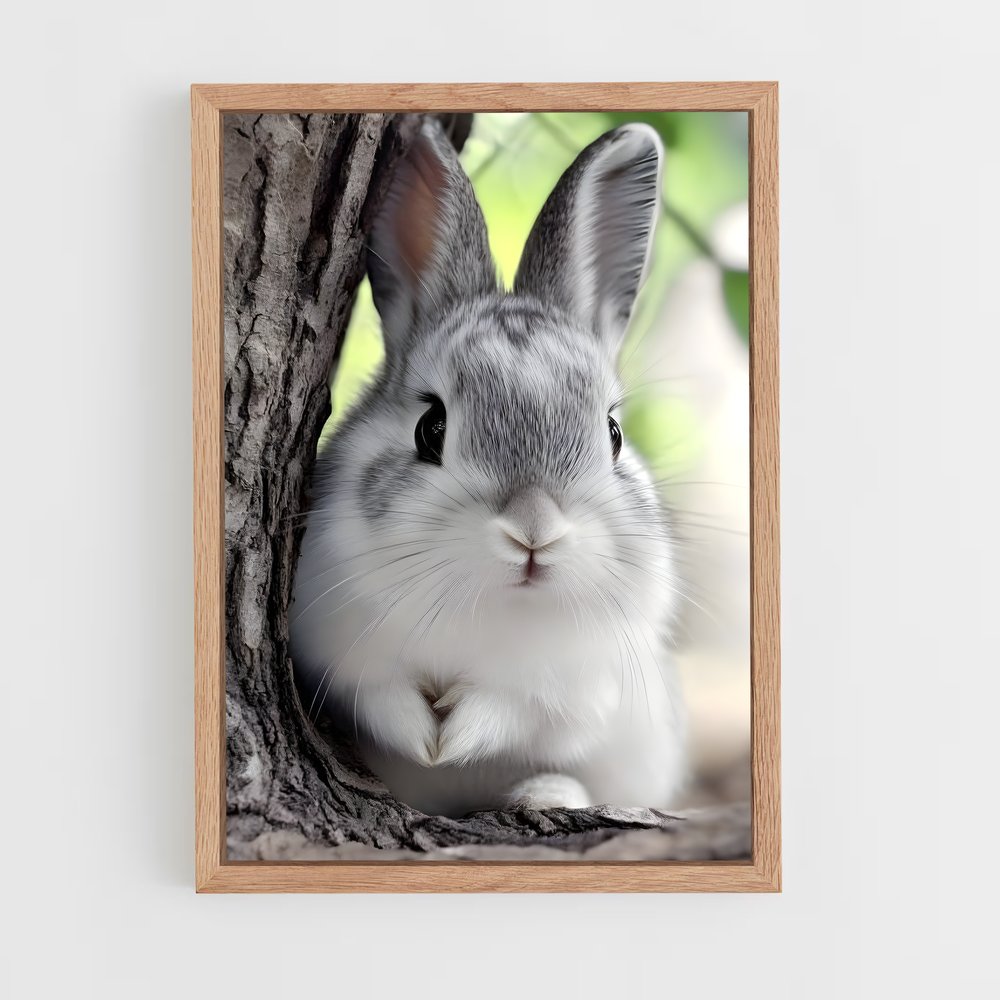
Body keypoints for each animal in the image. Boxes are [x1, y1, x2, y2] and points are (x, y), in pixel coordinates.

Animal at [289, 118, 686, 818]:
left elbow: (514, 710)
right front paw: (425, 738)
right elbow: (378, 696)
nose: (534, 531)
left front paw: (455, 736)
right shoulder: (332, 651)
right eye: (431, 428)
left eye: (612, 435)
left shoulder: (578, 689)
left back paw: (547, 792)